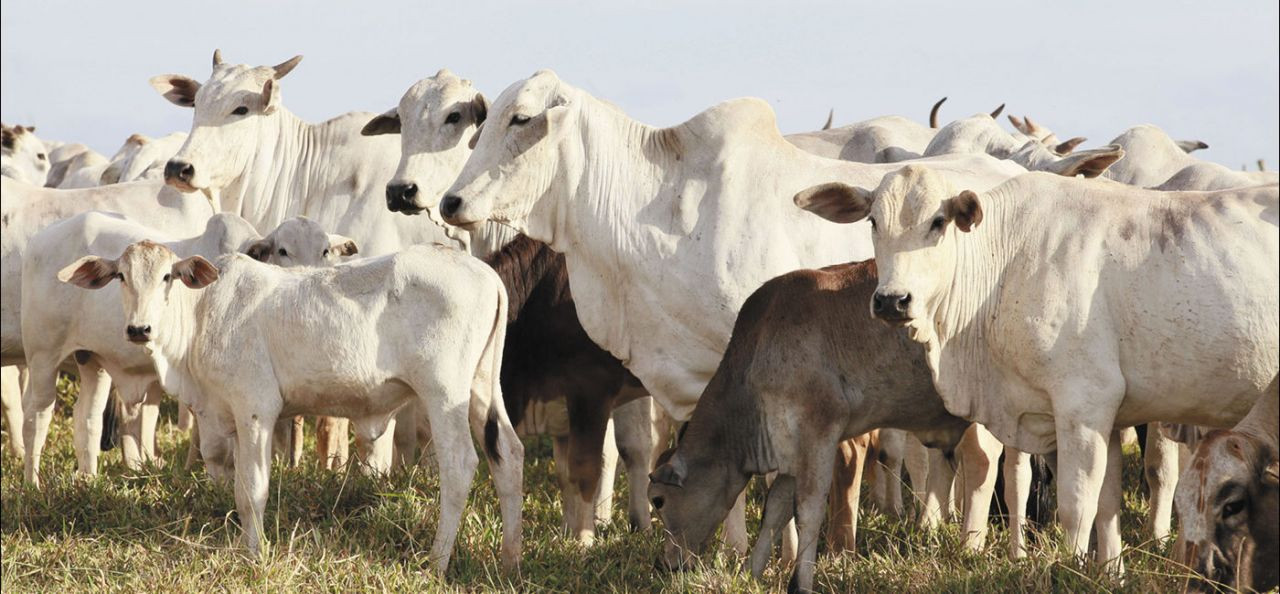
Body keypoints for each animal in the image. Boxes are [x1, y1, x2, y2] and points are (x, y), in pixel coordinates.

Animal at [62, 240, 522, 570]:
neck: (202, 314)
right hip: (482, 387)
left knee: (460, 464)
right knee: (508, 454)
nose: (139, 329)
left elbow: (251, 490)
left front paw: (254, 555)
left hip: (444, 393)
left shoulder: (255, 409)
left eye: (166, 277)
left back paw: (437, 561)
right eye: (122, 276)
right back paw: (509, 560)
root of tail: (485, 273)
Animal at [650, 261, 967, 594]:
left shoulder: (817, 434)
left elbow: (808, 511)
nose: (664, 563)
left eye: (658, 500)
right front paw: (752, 573)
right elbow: (774, 511)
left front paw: (800, 581)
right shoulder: (789, 450)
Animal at [793, 166, 1274, 570]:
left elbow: (1076, 505)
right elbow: (1107, 504)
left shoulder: (1083, 406)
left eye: (938, 222)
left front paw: (1072, 567)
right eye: (874, 221)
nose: (892, 300)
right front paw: (1110, 572)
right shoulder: (1109, 416)